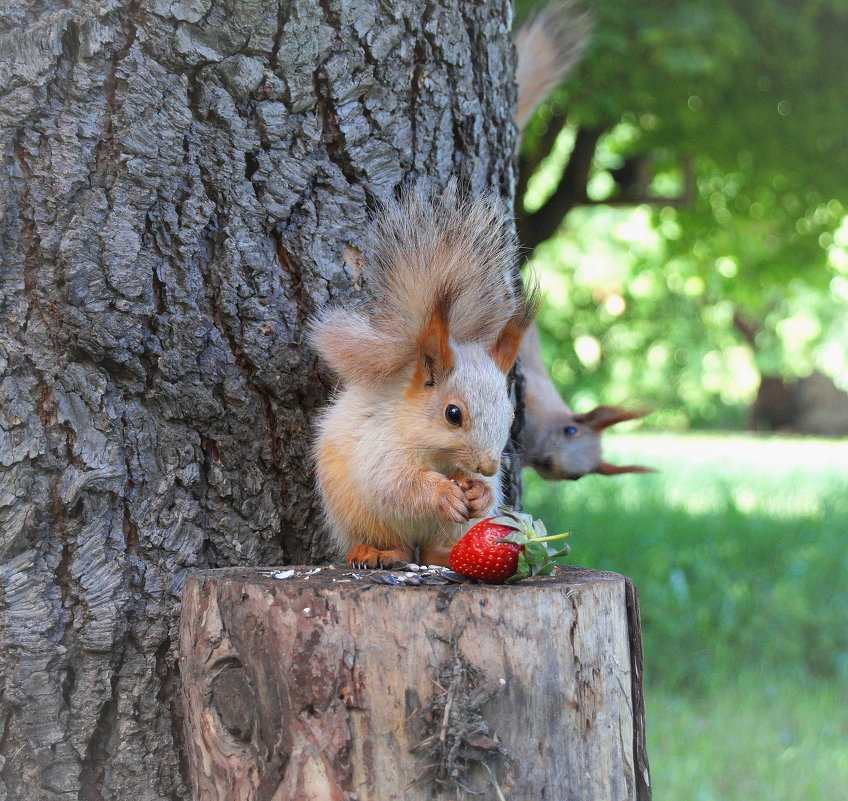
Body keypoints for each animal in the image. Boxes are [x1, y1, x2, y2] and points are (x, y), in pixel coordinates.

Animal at [310, 184, 536, 564]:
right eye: (453, 414)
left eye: (511, 414)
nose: (489, 467)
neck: (438, 453)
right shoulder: (380, 442)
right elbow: (394, 482)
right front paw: (441, 494)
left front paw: (481, 492)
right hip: (359, 514)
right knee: (393, 543)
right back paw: (374, 551)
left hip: (449, 531)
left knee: (431, 550)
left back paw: (443, 554)